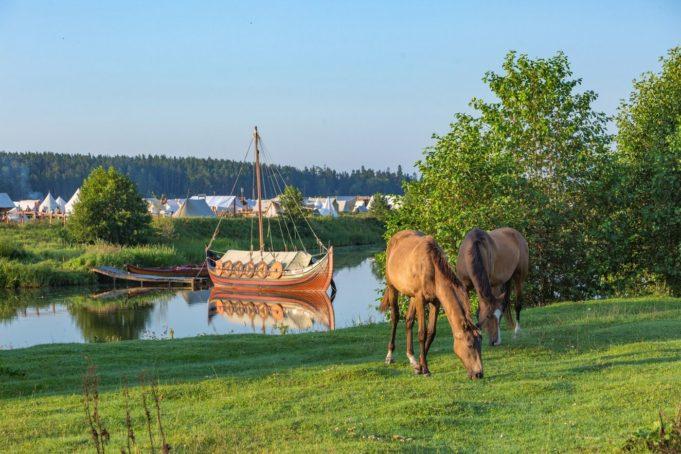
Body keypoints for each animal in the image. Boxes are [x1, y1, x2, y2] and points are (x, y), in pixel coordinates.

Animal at [378, 231, 484, 380]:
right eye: (469, 345)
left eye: (480, 344)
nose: (479, 374)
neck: (431, 267)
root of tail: (396, 237)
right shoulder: (421, 299)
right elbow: (422, 333)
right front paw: (426, 370)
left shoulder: (435, 302)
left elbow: (431, 333)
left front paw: (420, 366)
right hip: (393, 287)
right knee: (395, 317)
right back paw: (389, 356)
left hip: (412, 296)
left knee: (409, 320)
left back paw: (412, 358)